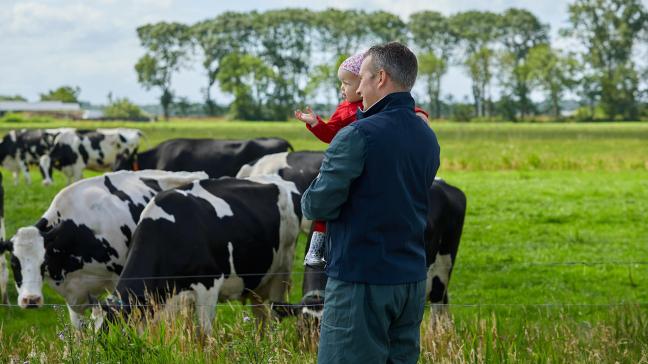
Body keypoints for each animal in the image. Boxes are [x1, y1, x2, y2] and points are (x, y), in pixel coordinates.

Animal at [95, 176, 302, 336]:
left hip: (282, 273)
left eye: (113, 329)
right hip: (256, 285)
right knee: (261, 318)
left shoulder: (208, 285)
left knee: (275, 317)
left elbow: (203, 334)